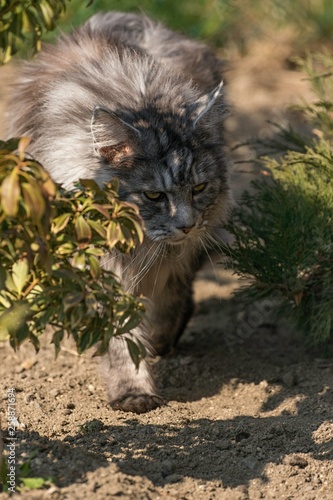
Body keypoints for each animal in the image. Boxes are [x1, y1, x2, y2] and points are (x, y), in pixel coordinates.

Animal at [5, 11, 230, 414]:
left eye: (199, 189)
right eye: (154, 195)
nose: (186, 225)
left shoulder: (177, 256)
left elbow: (169, 299)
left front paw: (158, 342)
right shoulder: (100, 269)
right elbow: (120, 340)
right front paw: (134, 392)